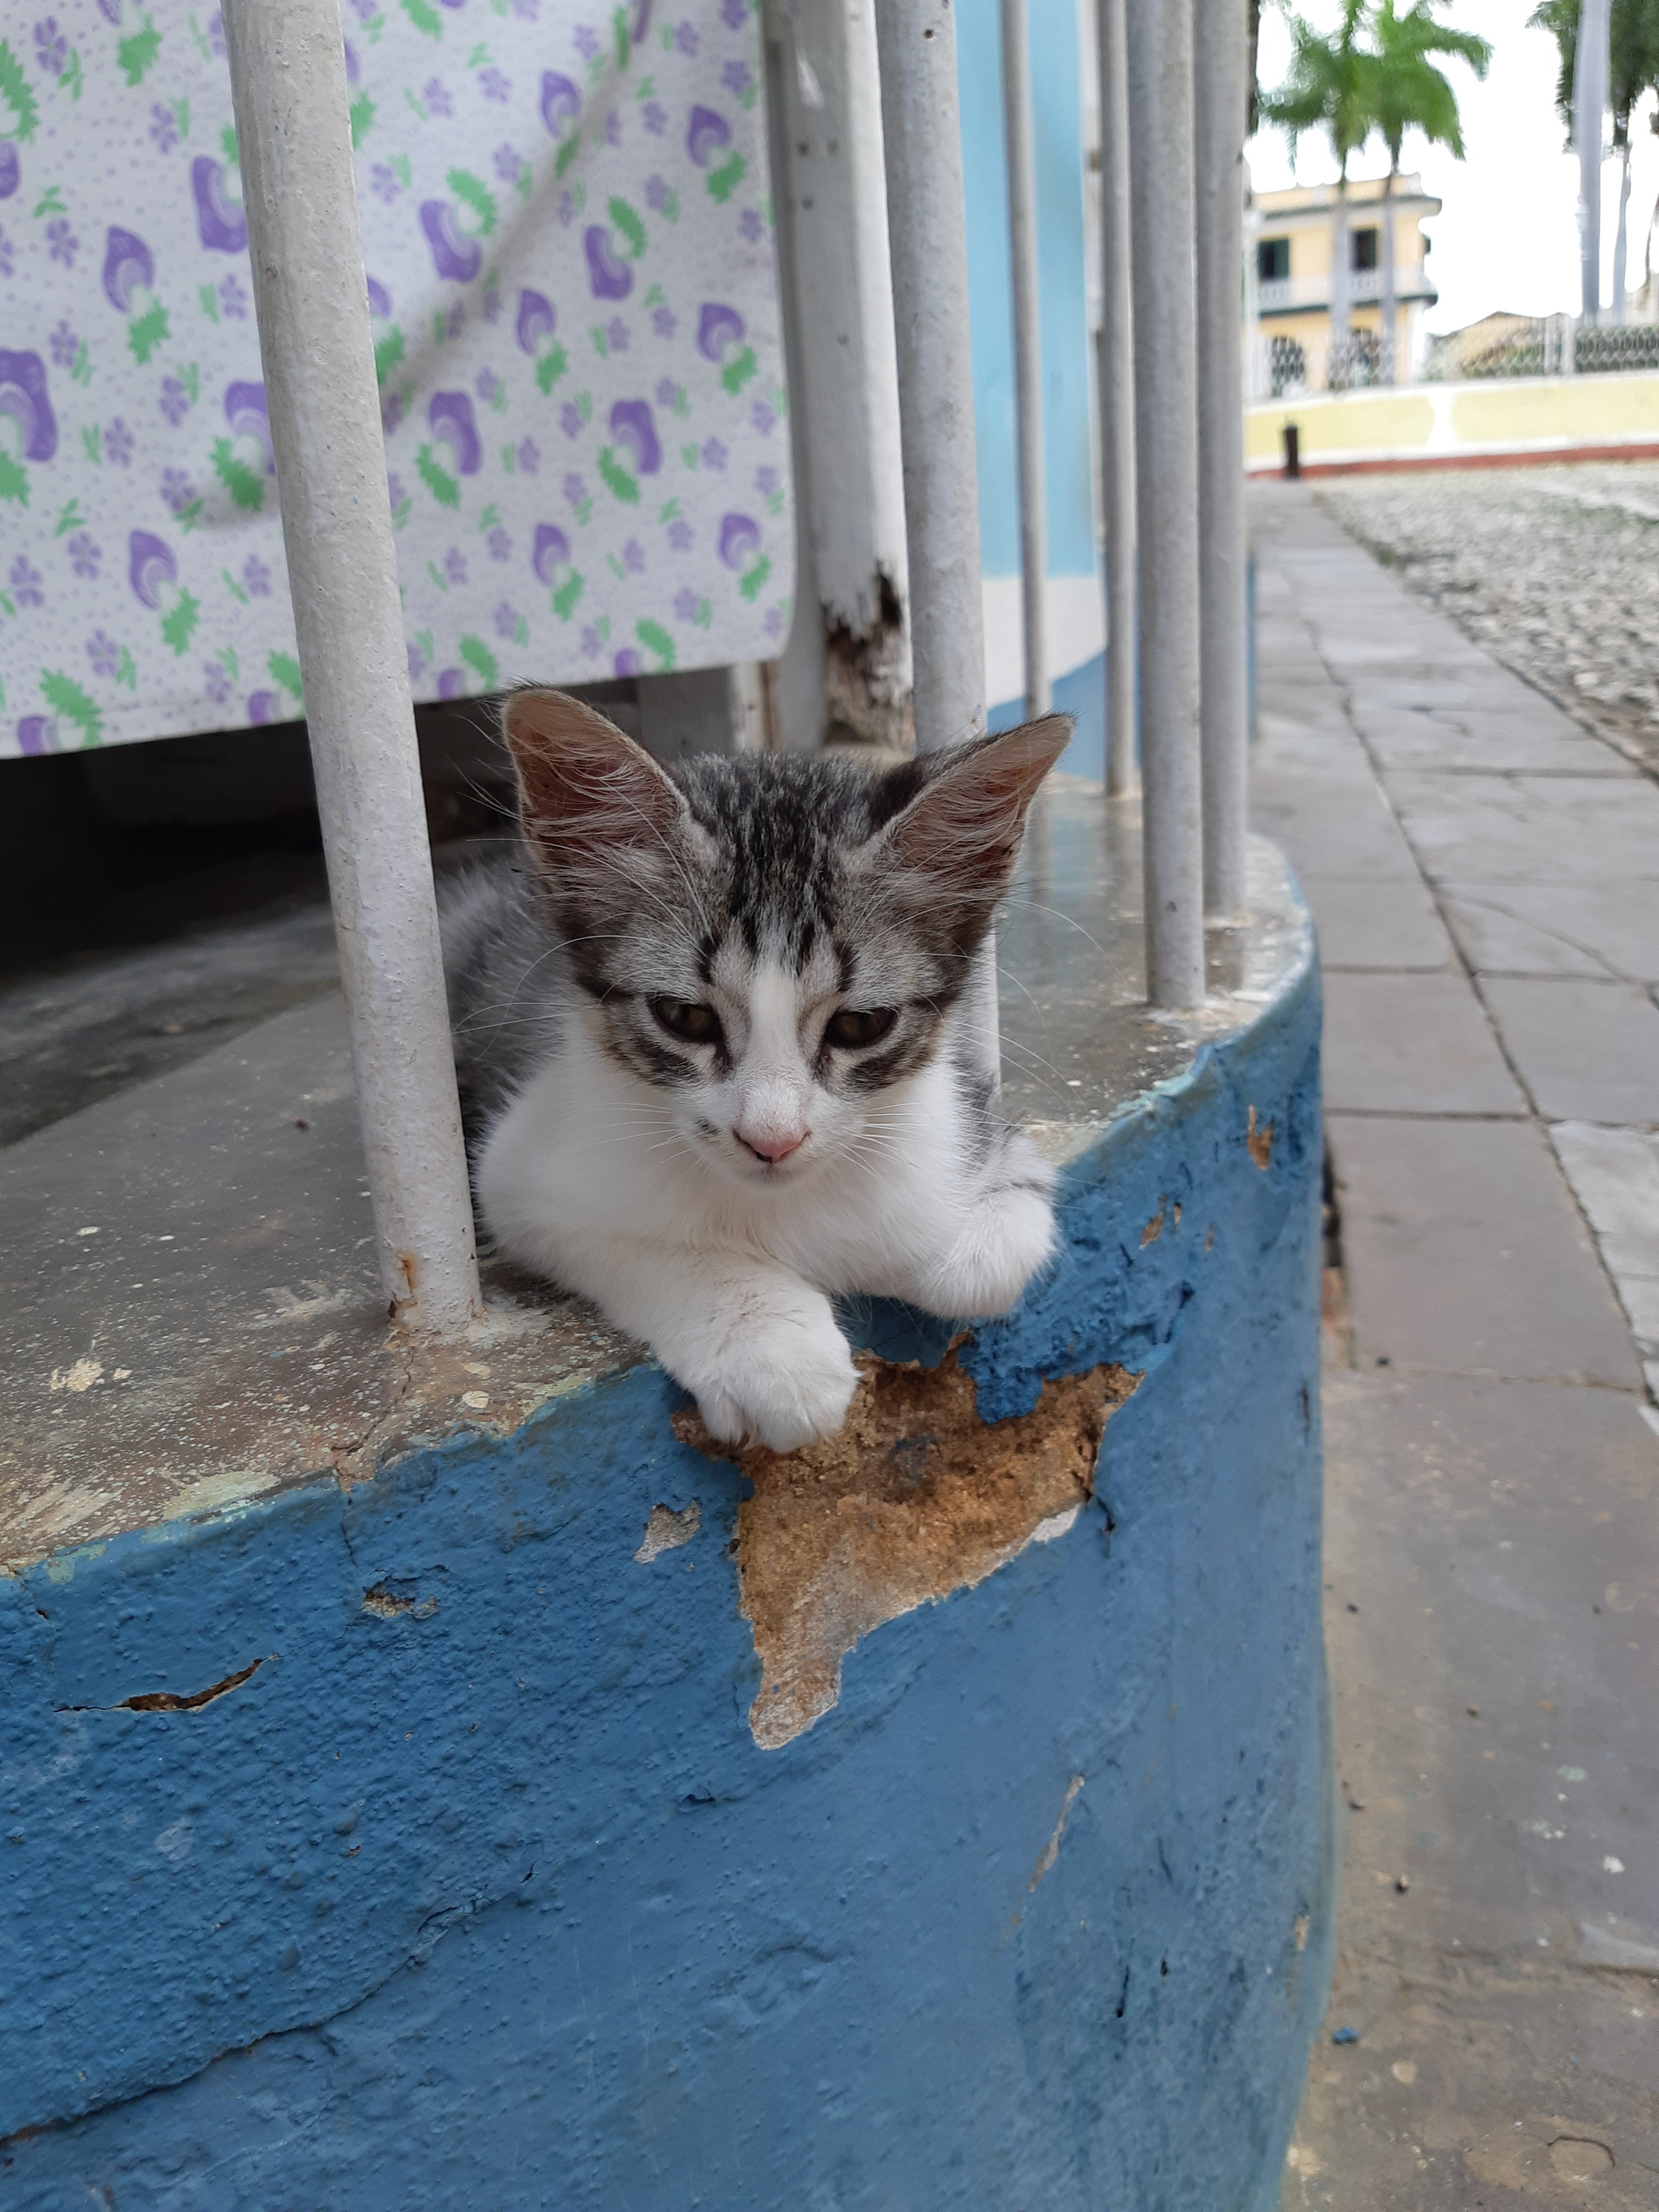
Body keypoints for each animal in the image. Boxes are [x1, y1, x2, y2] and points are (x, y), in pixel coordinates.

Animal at [442, 690, 1070, 1450]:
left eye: (859, 1026)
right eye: (684, 1017)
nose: (772, 1139)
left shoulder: (971, 1119)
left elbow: (980, 1260)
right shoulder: (519, 1169)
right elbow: (640, 1239)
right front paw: (767, 1342)